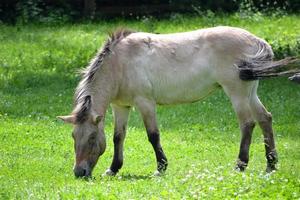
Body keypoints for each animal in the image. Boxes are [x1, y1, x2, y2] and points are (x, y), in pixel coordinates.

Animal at [57, 25, 298, 177]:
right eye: (73, 136)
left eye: (91, 138)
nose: (79, 173)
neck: (120, 62)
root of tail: (257, 41)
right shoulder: (121, 106)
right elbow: (118, 137)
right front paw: (113, 169)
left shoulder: (145, 103)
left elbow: (153, 135)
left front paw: (160, 168)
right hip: (250, 92)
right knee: (265, 119)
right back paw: (271, 165)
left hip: (237, 93)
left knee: (248, 123)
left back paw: (240, 165)